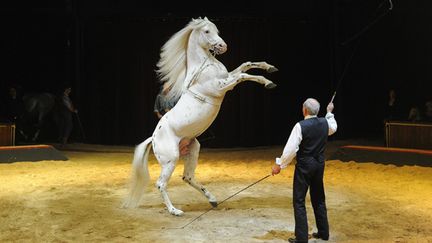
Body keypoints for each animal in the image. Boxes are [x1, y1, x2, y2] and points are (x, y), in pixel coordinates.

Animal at [122, 16, 276, 215]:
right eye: (207, 31)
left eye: (216, 30)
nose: (223, 46)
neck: (205, 66)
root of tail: (153, 138)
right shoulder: (221, 86)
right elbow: (242, 75)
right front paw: (268, 82)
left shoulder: (227, 77)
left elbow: (246, 65)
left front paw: (270, 68)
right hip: (171, 159)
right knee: (161, 184)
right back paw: (175, 211)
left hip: (193, 149)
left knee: (187, 177)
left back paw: (212, 200)